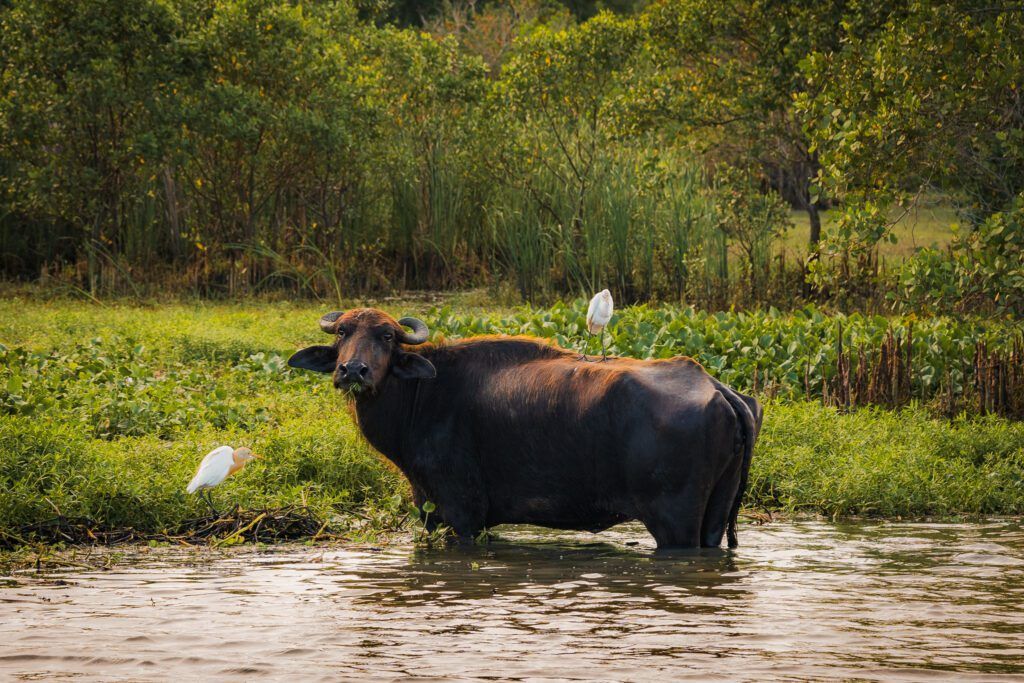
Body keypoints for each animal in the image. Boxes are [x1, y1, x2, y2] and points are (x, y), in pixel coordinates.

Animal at [288, 309, 761, 548]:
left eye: (387, 337)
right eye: (343, 333)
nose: (353, 370)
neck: (423, 396)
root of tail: (715, 386)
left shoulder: (463, 515)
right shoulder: (431, 513)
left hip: (675, 522)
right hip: (716, 514)